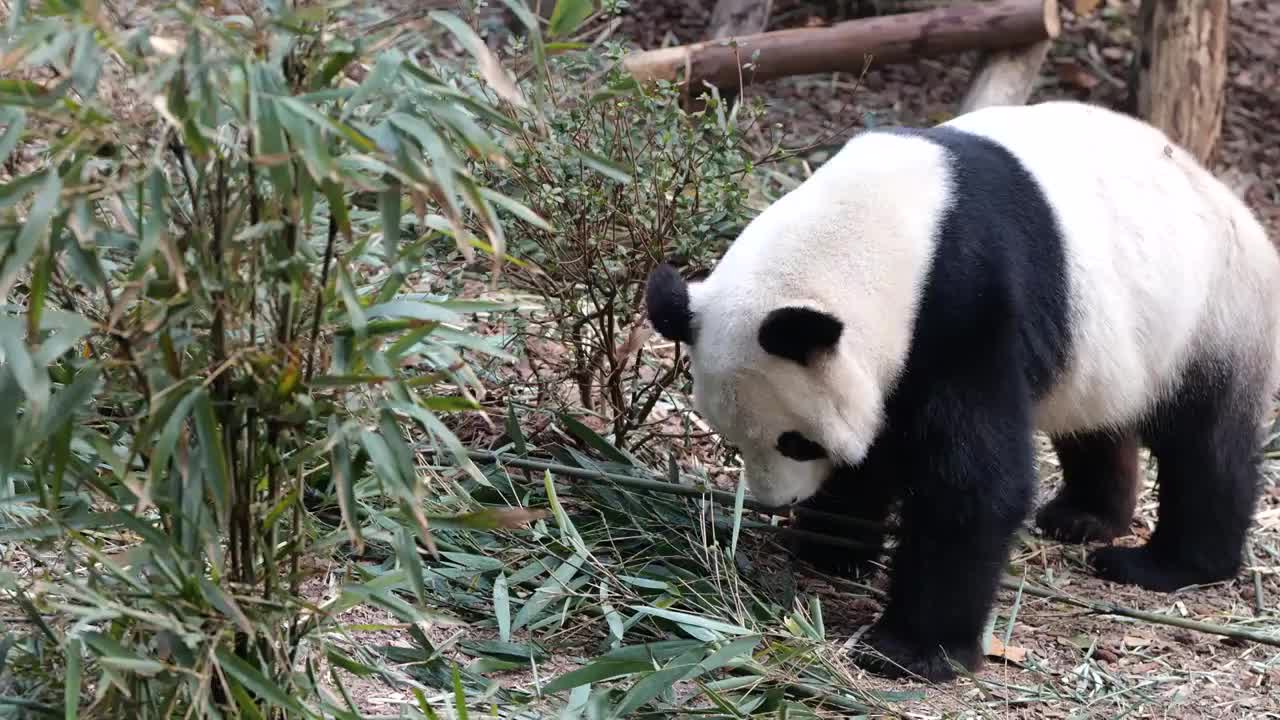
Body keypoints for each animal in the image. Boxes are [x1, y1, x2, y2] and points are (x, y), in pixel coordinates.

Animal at [650, 99, 1280, 676]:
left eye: (796, 442)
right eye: (734, 439)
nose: (778, 500)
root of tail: (1245, 216)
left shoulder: (966, 300)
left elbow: (973, 479)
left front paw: (907, 650)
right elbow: (877, 445)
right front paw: (832, 546)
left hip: (1210, 312)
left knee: (1204, 445)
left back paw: (1169, 564)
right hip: (1111, 345)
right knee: (1098, 421)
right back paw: (1084, 516)